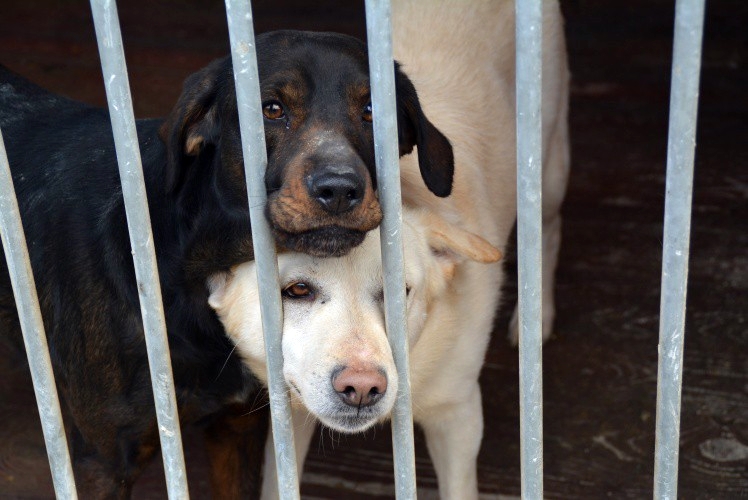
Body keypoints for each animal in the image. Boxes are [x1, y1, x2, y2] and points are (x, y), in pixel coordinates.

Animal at [210, 0, 568, 496]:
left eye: (401, 292)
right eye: (295, 291)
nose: (362, 388)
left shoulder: (458, 415)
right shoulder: (291, 411)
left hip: (547, 170)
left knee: (549, 230)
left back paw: (539, 316)